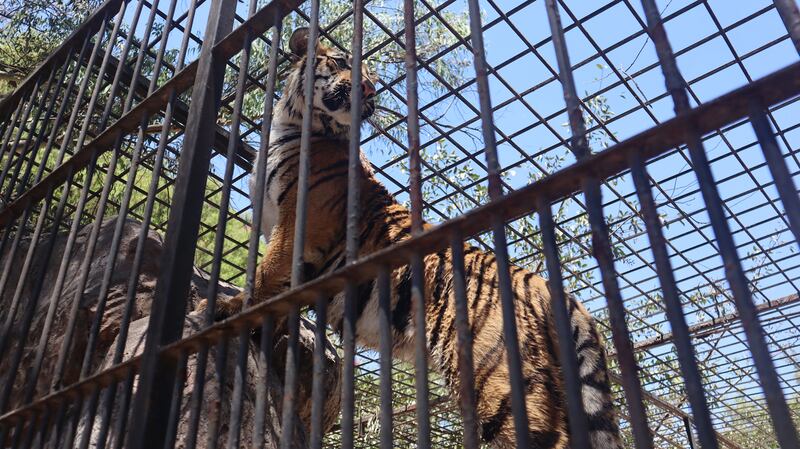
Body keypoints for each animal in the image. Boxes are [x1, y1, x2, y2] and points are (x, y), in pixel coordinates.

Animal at [195, 28, 624, 448]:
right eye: (342, 60)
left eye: (372, 82)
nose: (368, 90)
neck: (292, 124)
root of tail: (544, 284)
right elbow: (283, 292)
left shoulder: (300, 225)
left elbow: (267, 275)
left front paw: (229, 310)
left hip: (499, 377)